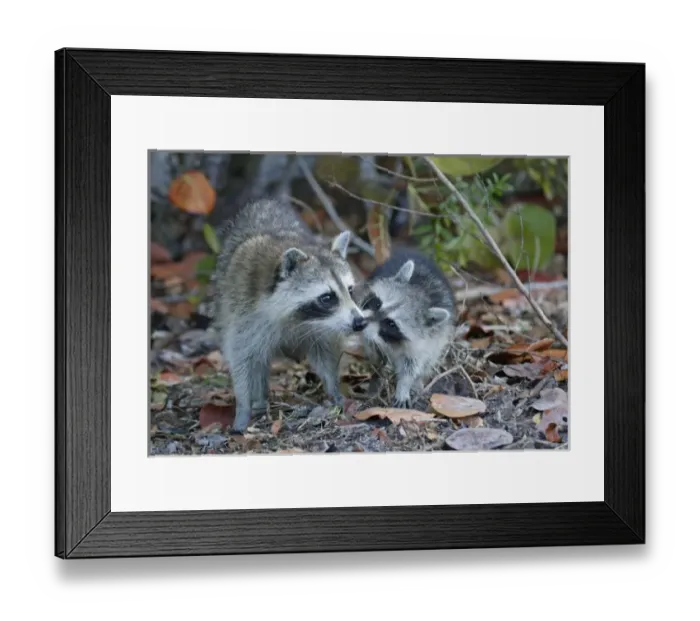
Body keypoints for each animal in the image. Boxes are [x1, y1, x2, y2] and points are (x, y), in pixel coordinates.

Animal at [212, 198, 368, 433]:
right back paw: (259, 399)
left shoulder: (324, 327)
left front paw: (334, 390)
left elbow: (326, 354)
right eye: (327, 297)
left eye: (350, 290)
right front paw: (243, 407)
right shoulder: (243, 314)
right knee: (258, 361)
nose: (360, 322)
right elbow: (242, 360)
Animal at [355, 248, 457, 408]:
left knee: (431, 358)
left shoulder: (425, 341)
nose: (359, 324)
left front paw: (404, 386)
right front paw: (377, 369)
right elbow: (373, 349)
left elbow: (411, 366)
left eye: (391, 324)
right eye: (377, 303)